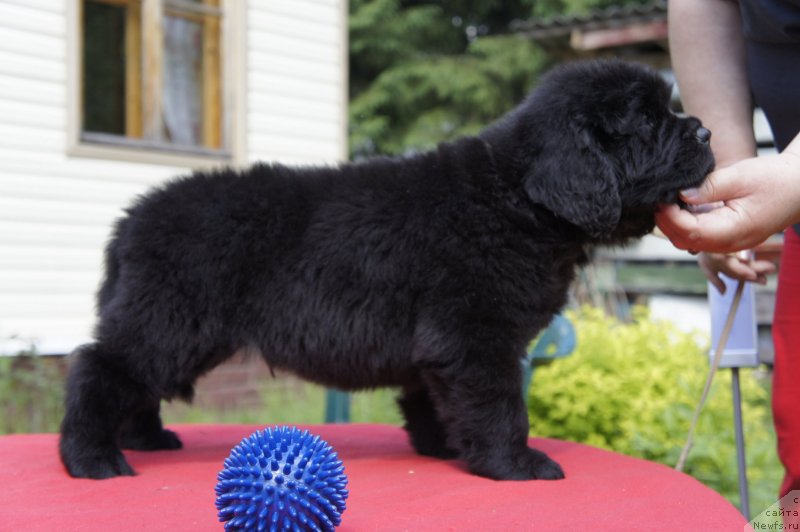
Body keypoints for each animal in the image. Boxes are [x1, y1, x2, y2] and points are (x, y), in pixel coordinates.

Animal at [61, 60, 712, 480]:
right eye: (647, 121)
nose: (707, 130)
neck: (516, 200)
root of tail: (131, 219)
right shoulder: (474, 335)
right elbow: (500, 404)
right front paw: (515, 464)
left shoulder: (440, 344)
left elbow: (433, 398)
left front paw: (443, 449)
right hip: (172, 320)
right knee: (98, 368)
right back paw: (93, 458)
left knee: (133, 381)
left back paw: (144, 438)